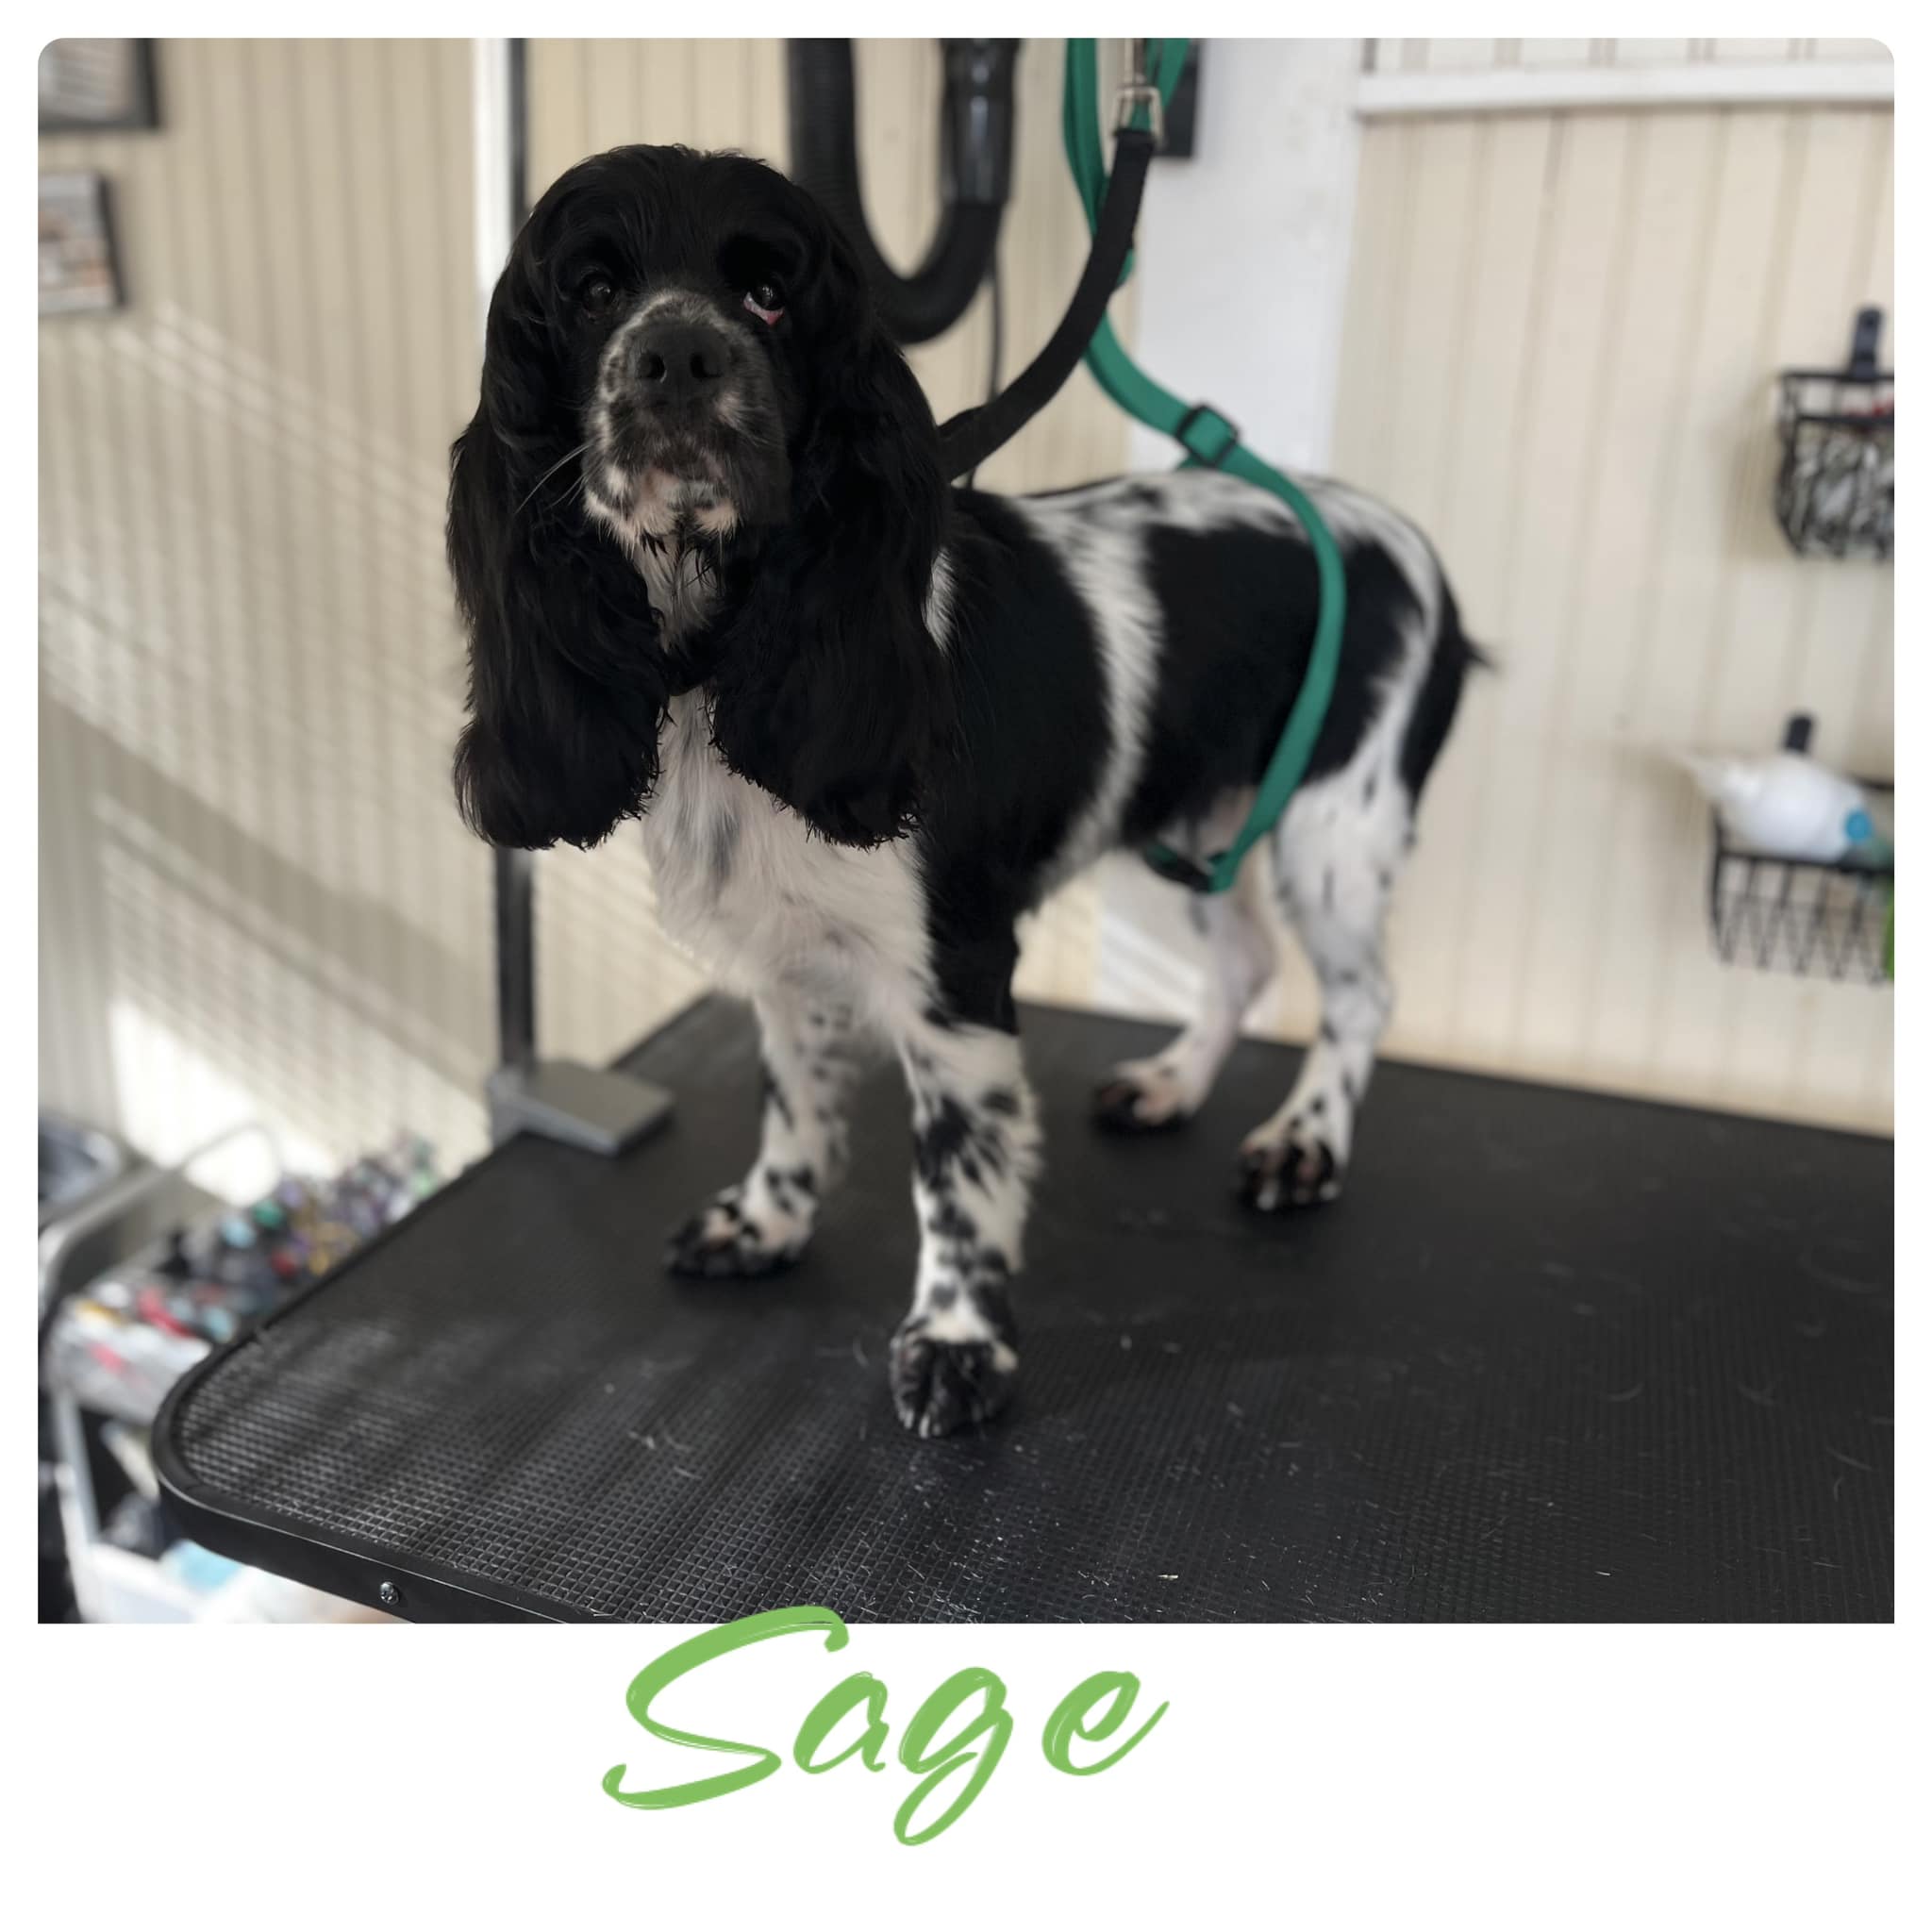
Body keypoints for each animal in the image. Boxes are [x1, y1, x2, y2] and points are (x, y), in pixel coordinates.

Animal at [447, 145, 1478, 1438]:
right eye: (591, 293)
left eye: (769, 296)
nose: (675, 354)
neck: (722, 654)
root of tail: (1407, 544)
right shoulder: (788, 954)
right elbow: (793, 1099)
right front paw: (769, 1218)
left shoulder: (956, 975)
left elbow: (957, 1173)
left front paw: (956, 1340)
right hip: (1200, 814)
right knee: (1244, 963)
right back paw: (1172, 1085)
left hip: (1334, 830)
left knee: (1358, 995)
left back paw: (1304, 1142)